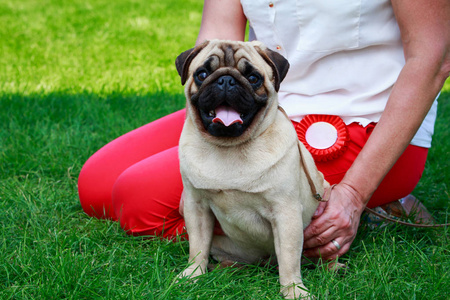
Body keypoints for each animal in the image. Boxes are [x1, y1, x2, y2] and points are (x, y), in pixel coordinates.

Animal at [175, 39, 326, 298]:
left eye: (253, 78)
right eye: (202, 74)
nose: (226, 80)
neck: (229, 147)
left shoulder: (285, 213)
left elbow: (289, 259)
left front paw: (294, 291)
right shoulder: (196, 206)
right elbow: (197, 247)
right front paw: (192, 275)